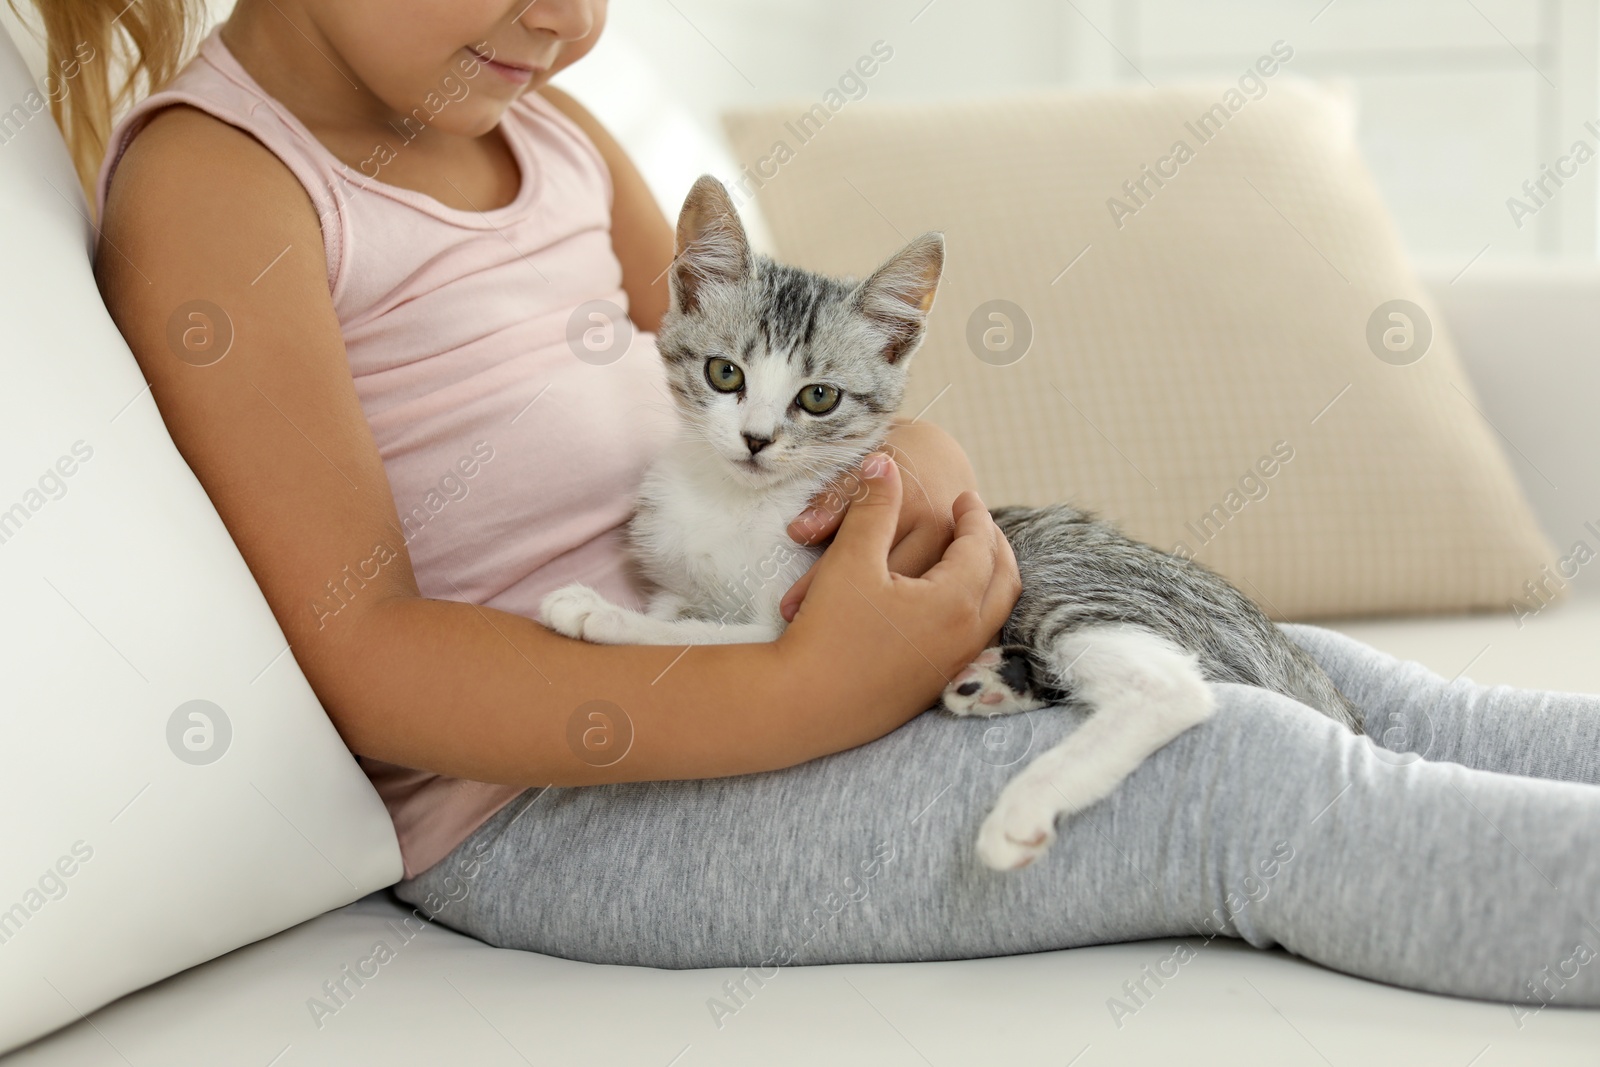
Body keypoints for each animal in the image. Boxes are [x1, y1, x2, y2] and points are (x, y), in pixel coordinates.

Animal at [540, 175, 1363, 870]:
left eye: (818, 398)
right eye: (724, 373)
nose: (755, 439)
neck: (736, 501)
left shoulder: (796, 617)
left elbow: (703, 639)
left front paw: (598, 613)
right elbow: (682, 609)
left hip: (1058, 575)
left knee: (1174, 689)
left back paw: (1025, 805)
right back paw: (994, 682)